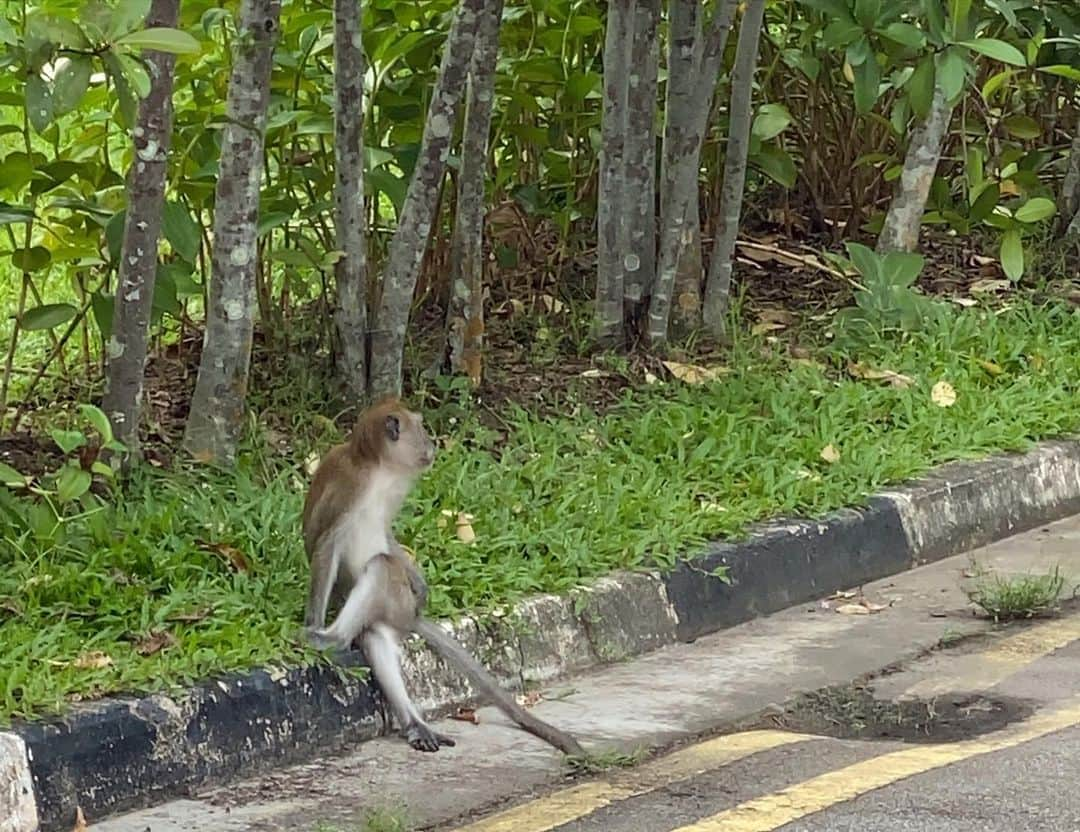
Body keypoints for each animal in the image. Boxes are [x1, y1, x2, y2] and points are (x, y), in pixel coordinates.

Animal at [300, 397, 587, 756]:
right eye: (420, 427)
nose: (432, 444)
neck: (378, 470)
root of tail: (408, 616)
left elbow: (386, 535)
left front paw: (422, 586)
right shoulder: (351, 488)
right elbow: (327, 544)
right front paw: (314, 622)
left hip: (395, 612)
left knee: (376, 630)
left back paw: (414, 724)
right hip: (389, 601)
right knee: (382, 567)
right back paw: (335, 638)